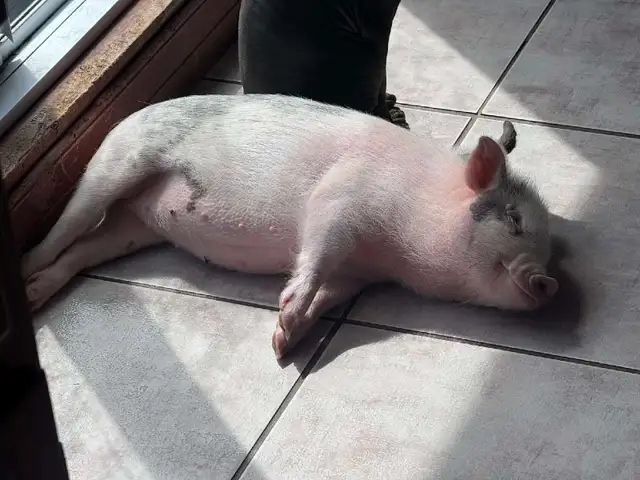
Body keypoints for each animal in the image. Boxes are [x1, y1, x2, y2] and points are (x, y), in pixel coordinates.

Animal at [21, 94, 557, 359]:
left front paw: (283, 343)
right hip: (115, 165)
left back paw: (34, 291)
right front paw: (282, 328)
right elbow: (316, 256)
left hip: (135, 228)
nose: (549, 282)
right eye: (514, 220)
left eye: (551, 248)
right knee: (66, 230)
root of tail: (127, 116)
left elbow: (328, 296)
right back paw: (26, 277)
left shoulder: (357, 277)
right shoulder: (339, 199)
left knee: (85, 249)